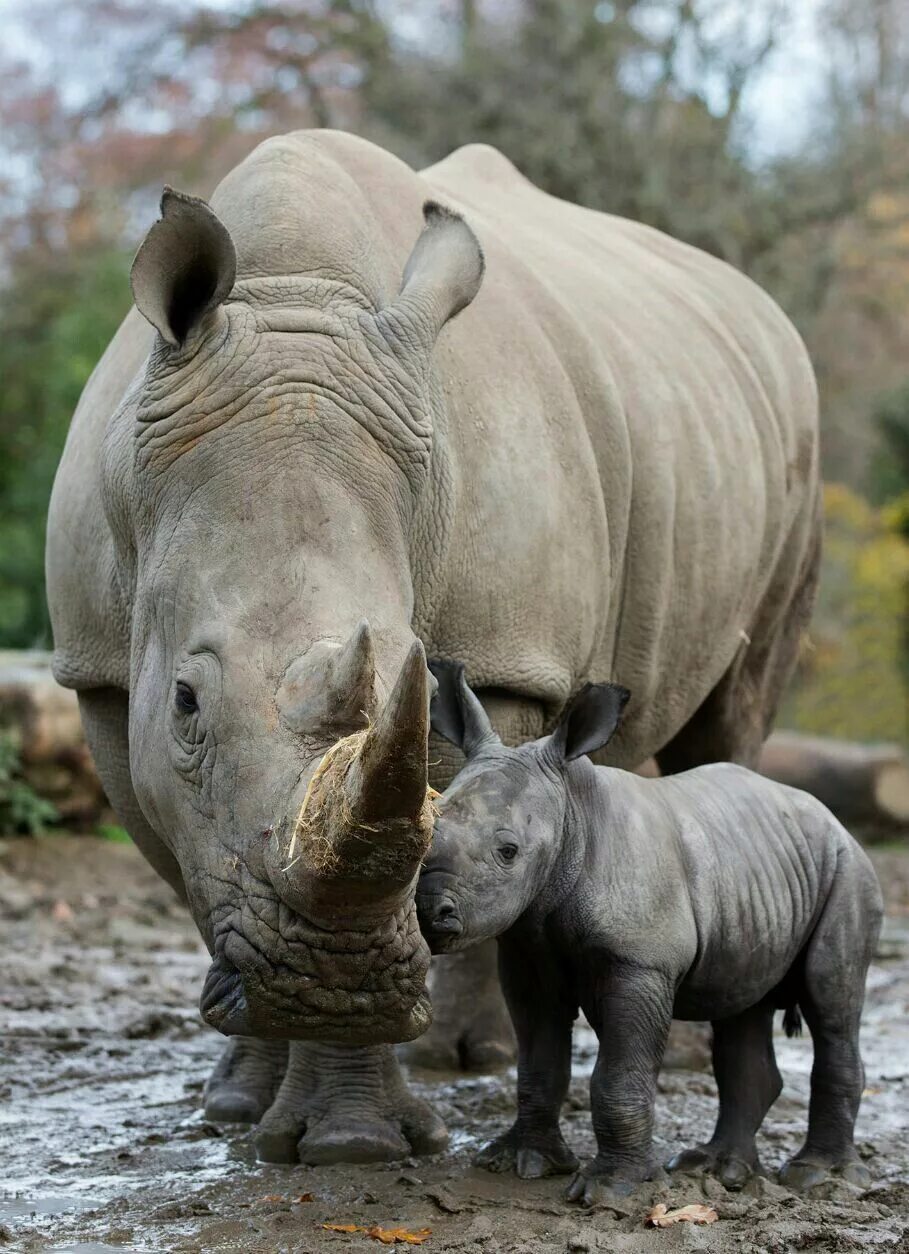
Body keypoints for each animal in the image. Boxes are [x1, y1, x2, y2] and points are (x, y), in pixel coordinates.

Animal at [418, 667, 877, 1203]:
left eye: (508, 852)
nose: (427, 909)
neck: (573, 815)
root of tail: (830, 818)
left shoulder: (640, 961)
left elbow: (618, 1077)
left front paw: (611, 1190)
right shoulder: (528, 951)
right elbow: (538, 1062)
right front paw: (522, 1162)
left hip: (846, 867)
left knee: (832, 1001)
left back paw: (817, 1177)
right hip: (759, 870)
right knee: (743, 1005)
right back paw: (719, 1169)